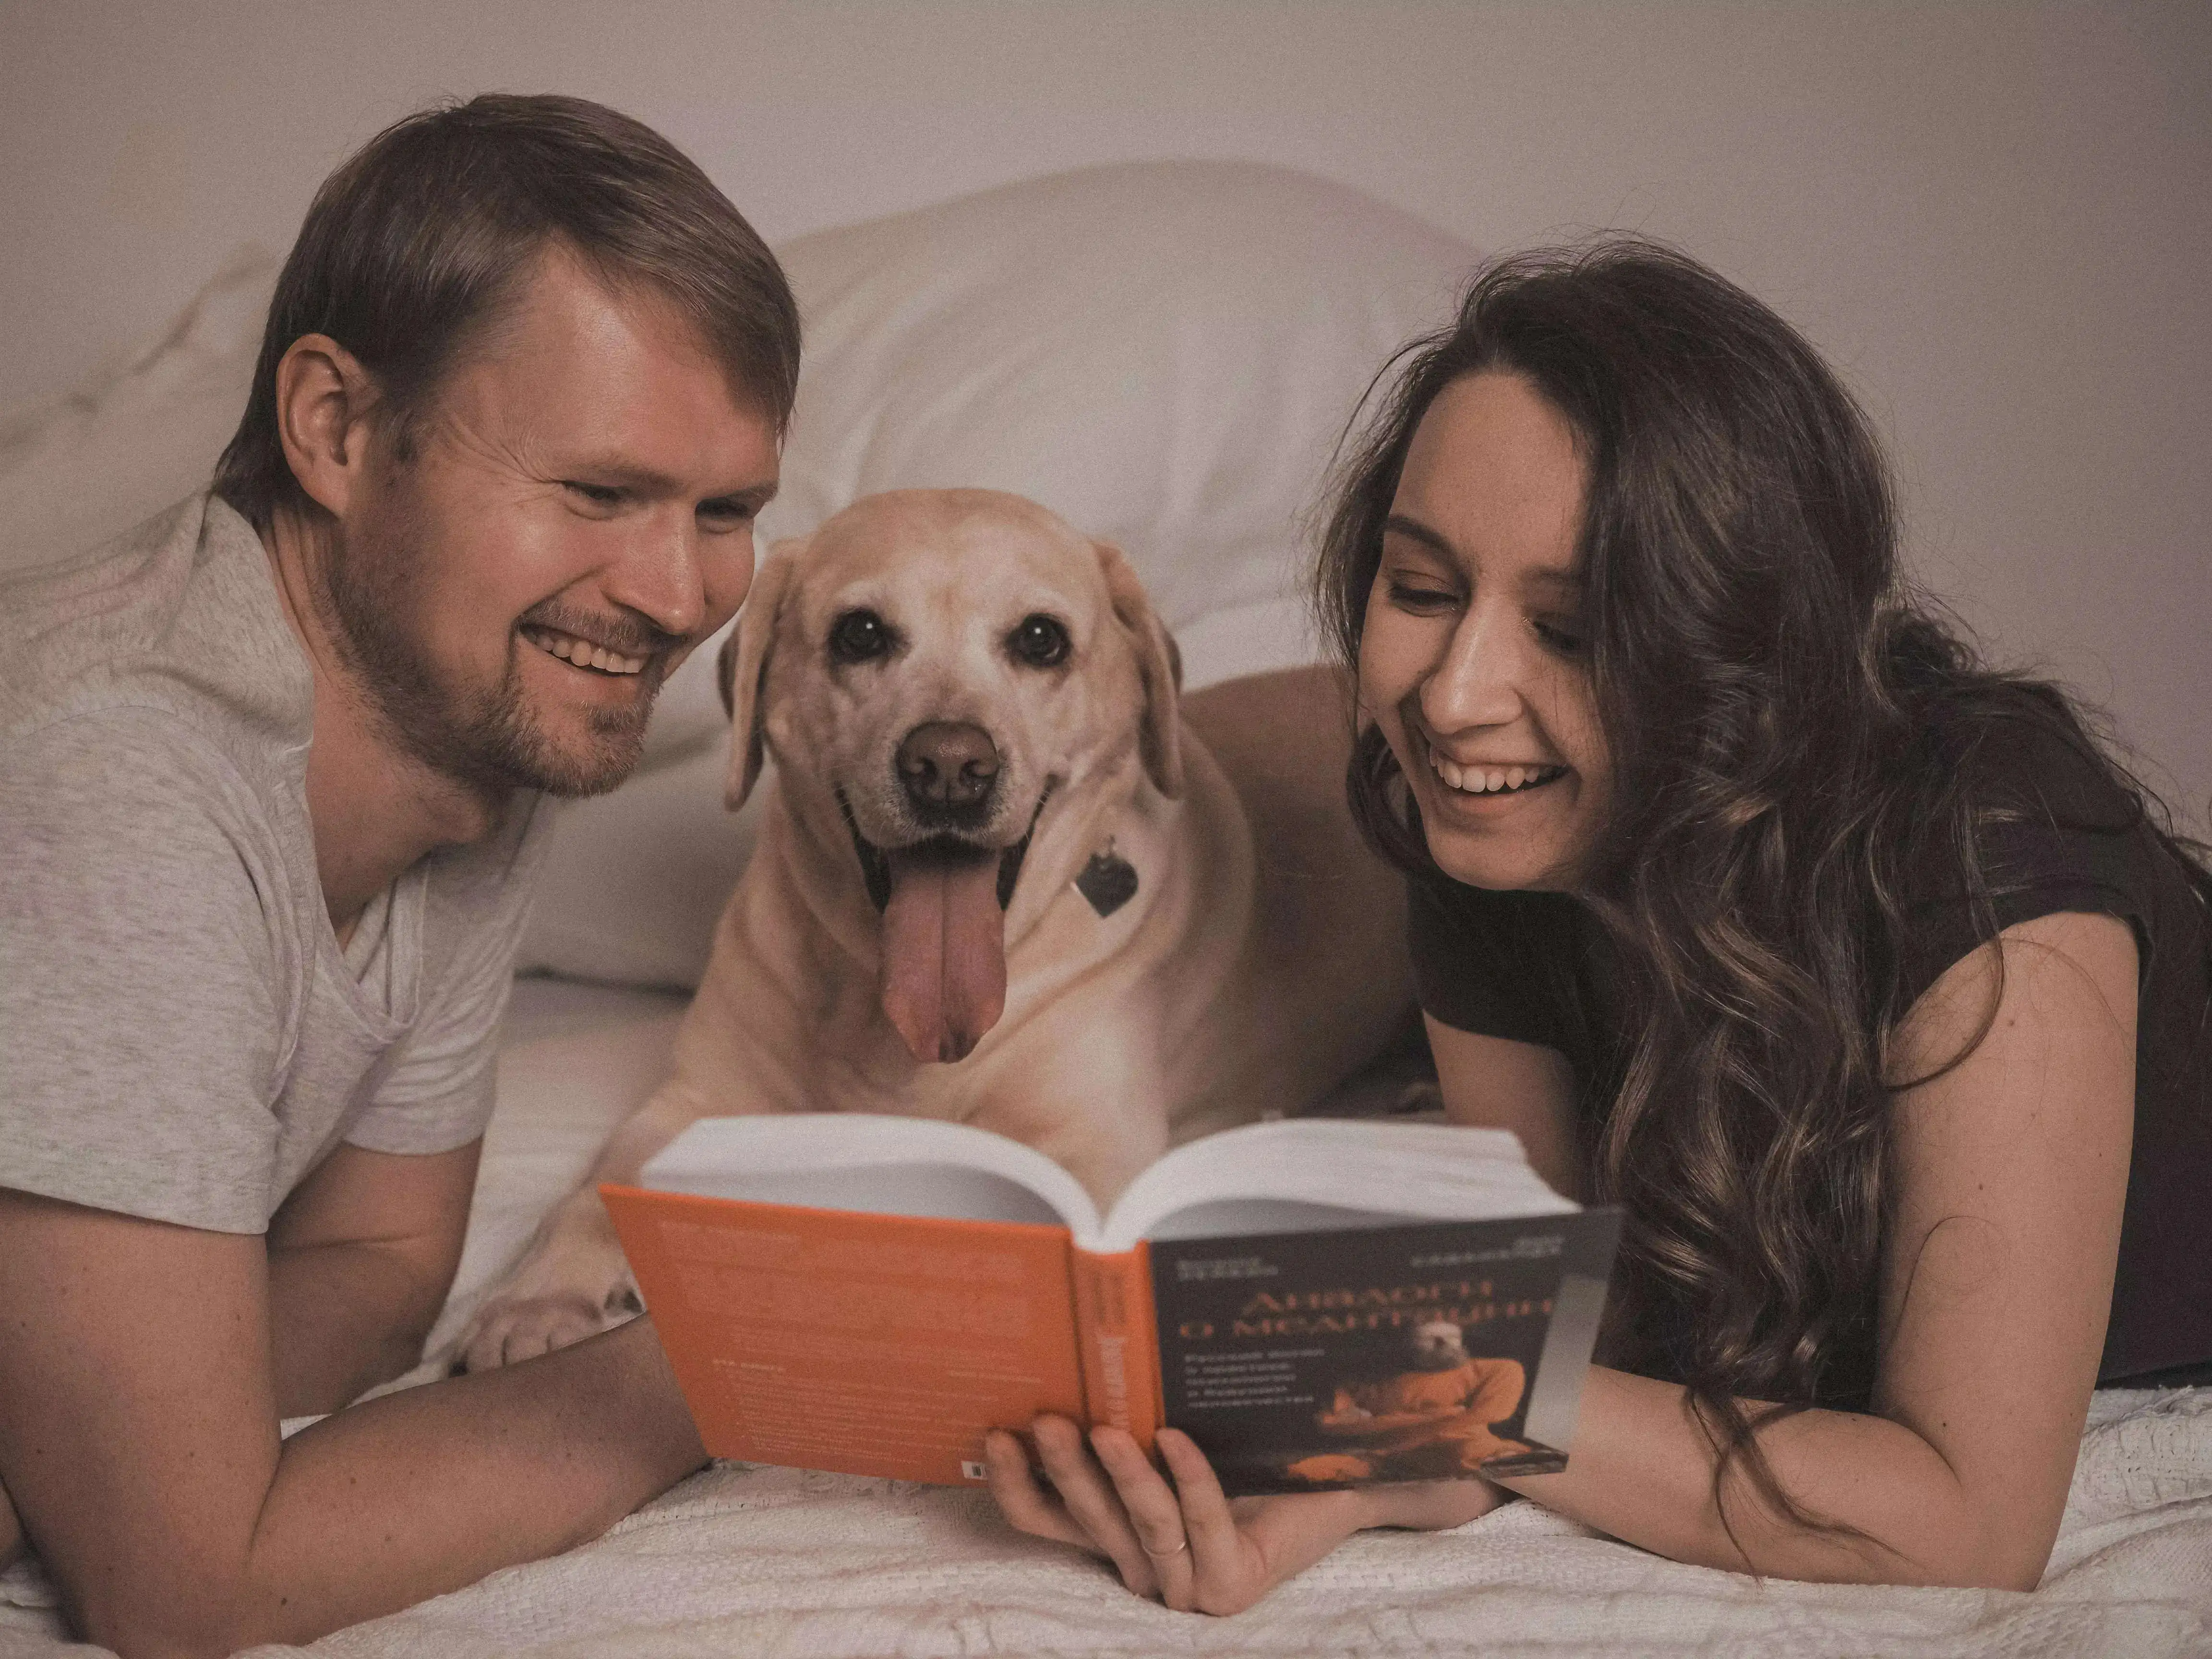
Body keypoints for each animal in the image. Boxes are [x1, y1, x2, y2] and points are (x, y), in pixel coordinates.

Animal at [457, 486, 1407, 1371]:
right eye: (861, 634)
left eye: (1040, 640)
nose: (949, 767)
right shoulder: (692, 1101)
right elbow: (589, 1193)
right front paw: (538, 1301)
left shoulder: (1086, 1148)